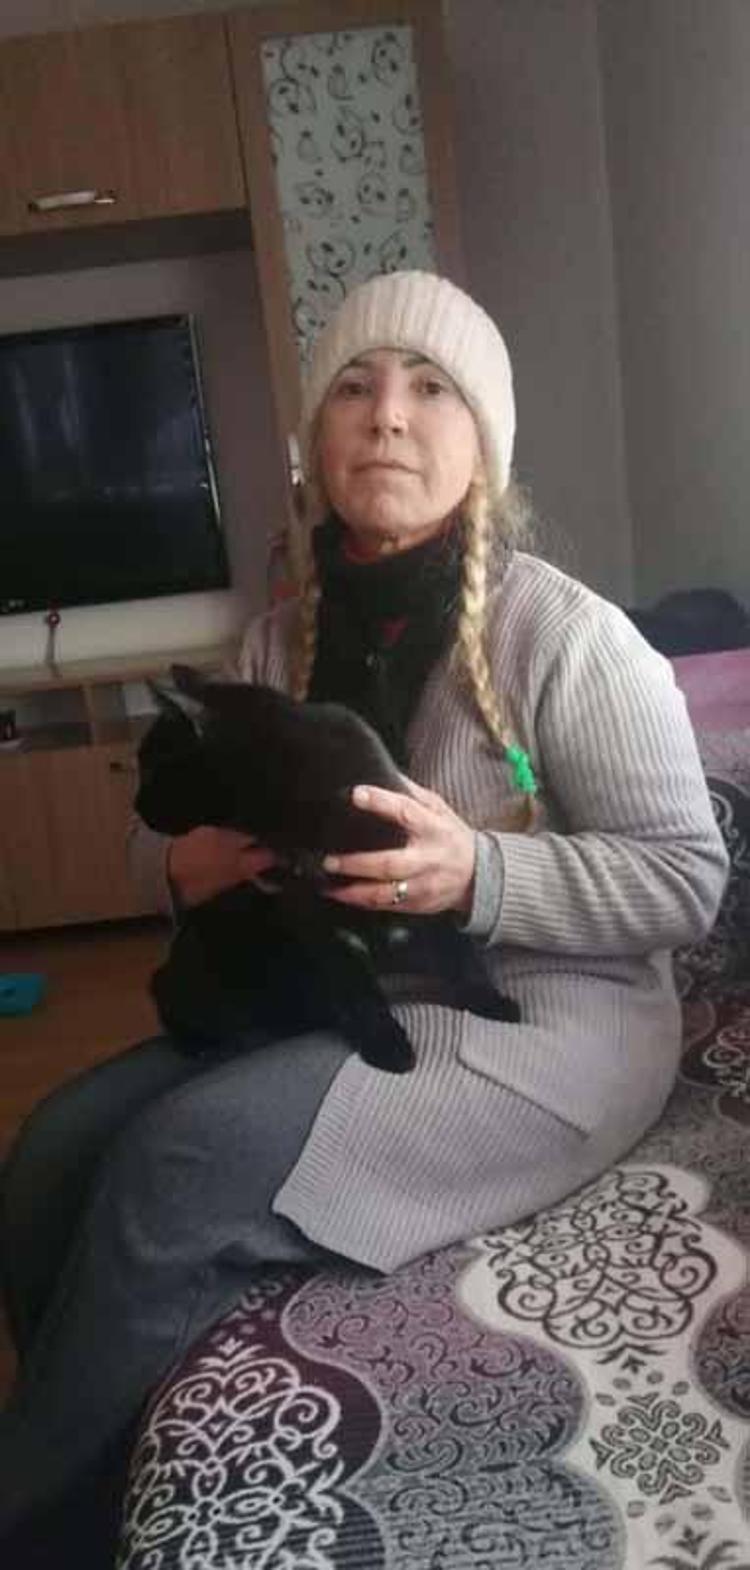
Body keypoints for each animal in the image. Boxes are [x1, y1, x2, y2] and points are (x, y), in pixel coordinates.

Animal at [135, 664, 521, 1074]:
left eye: (152, 767)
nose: (136, 806)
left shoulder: (425, 880)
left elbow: (460, 954)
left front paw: (491, 1001)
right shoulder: (320, 924)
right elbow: (359, 993)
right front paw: (387, 1046)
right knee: (165, 991)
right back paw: (202, 1042)